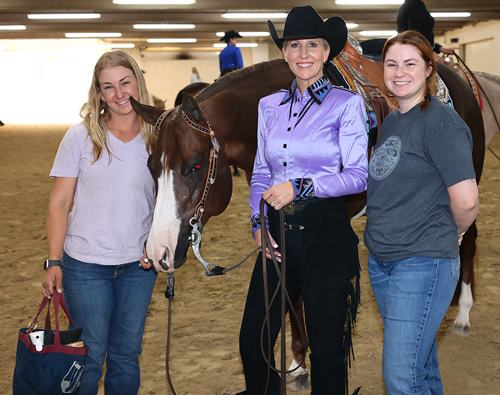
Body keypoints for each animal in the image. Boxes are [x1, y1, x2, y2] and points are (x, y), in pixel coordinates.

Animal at [130, 55, 484, 390]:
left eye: (195, 165)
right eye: (150, 166)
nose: (157, 252)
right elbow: (292, 296)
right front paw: (298, 366)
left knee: (467, 240)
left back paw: (463, 313)